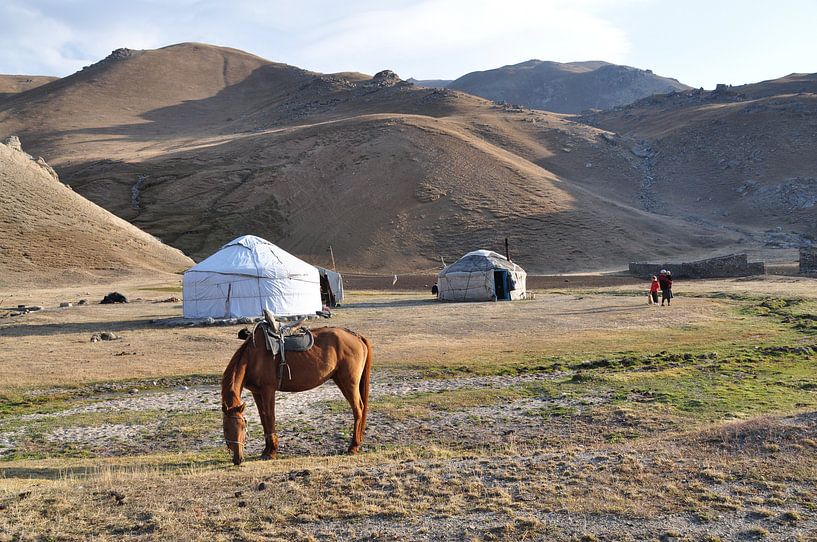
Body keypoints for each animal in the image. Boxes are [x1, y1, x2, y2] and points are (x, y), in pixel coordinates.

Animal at [217, 326, 370, 466]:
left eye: (243, 427)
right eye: (226, 428)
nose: (238, 459)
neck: (253, 356)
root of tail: (357, 336)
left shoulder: (268, 390)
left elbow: (270, 418)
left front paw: (271, 452)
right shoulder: (257, 392)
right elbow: (263, 419)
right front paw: (266, 450)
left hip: (349, 383)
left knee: (358, 409)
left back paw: (353, 446)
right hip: (340, 380)